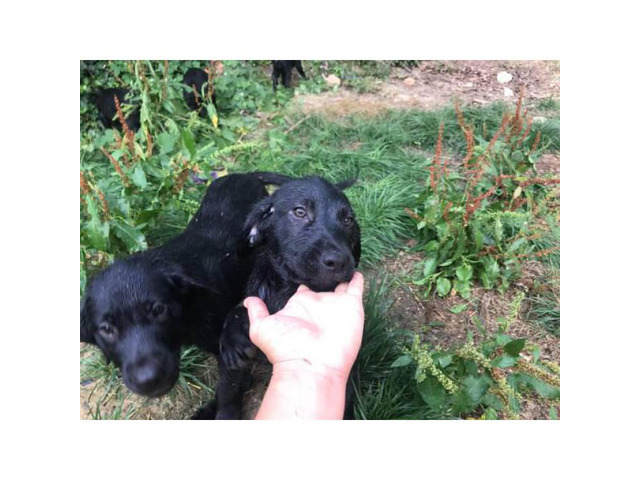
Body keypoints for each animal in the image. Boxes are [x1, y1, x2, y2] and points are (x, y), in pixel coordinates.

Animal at [208, 176, 362, 420]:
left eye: (347, 220)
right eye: (299, 212)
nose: (338, 261)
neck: (289, 290)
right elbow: (228, 390)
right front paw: (234, 339)